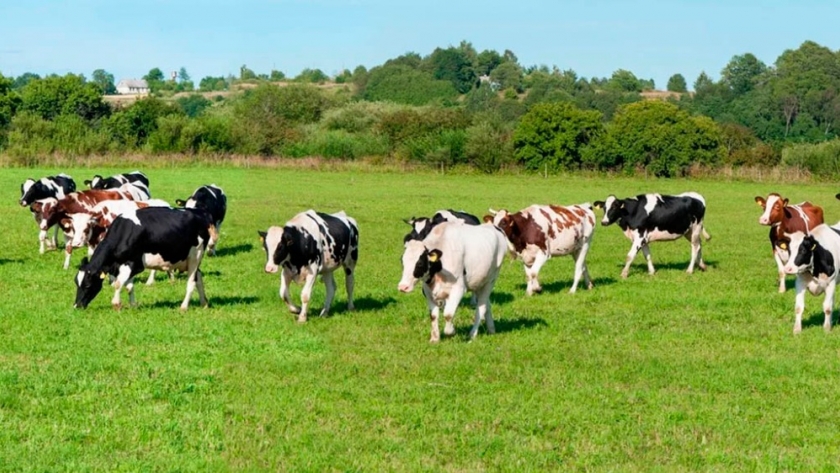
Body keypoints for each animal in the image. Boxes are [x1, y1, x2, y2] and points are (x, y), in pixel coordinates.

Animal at [74, 207, 212, 311]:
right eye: (76, 283)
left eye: (87, 285)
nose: (76, 306)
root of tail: (200, 213)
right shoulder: (126, 266)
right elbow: (129, 286)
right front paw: (133, 305)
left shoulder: (133, 263)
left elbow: (118, 284)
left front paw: (116, 304)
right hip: (189, 261)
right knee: (199, 278)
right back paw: (204, 303)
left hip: (195, 255)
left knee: (191, 282)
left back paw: (183, 307)